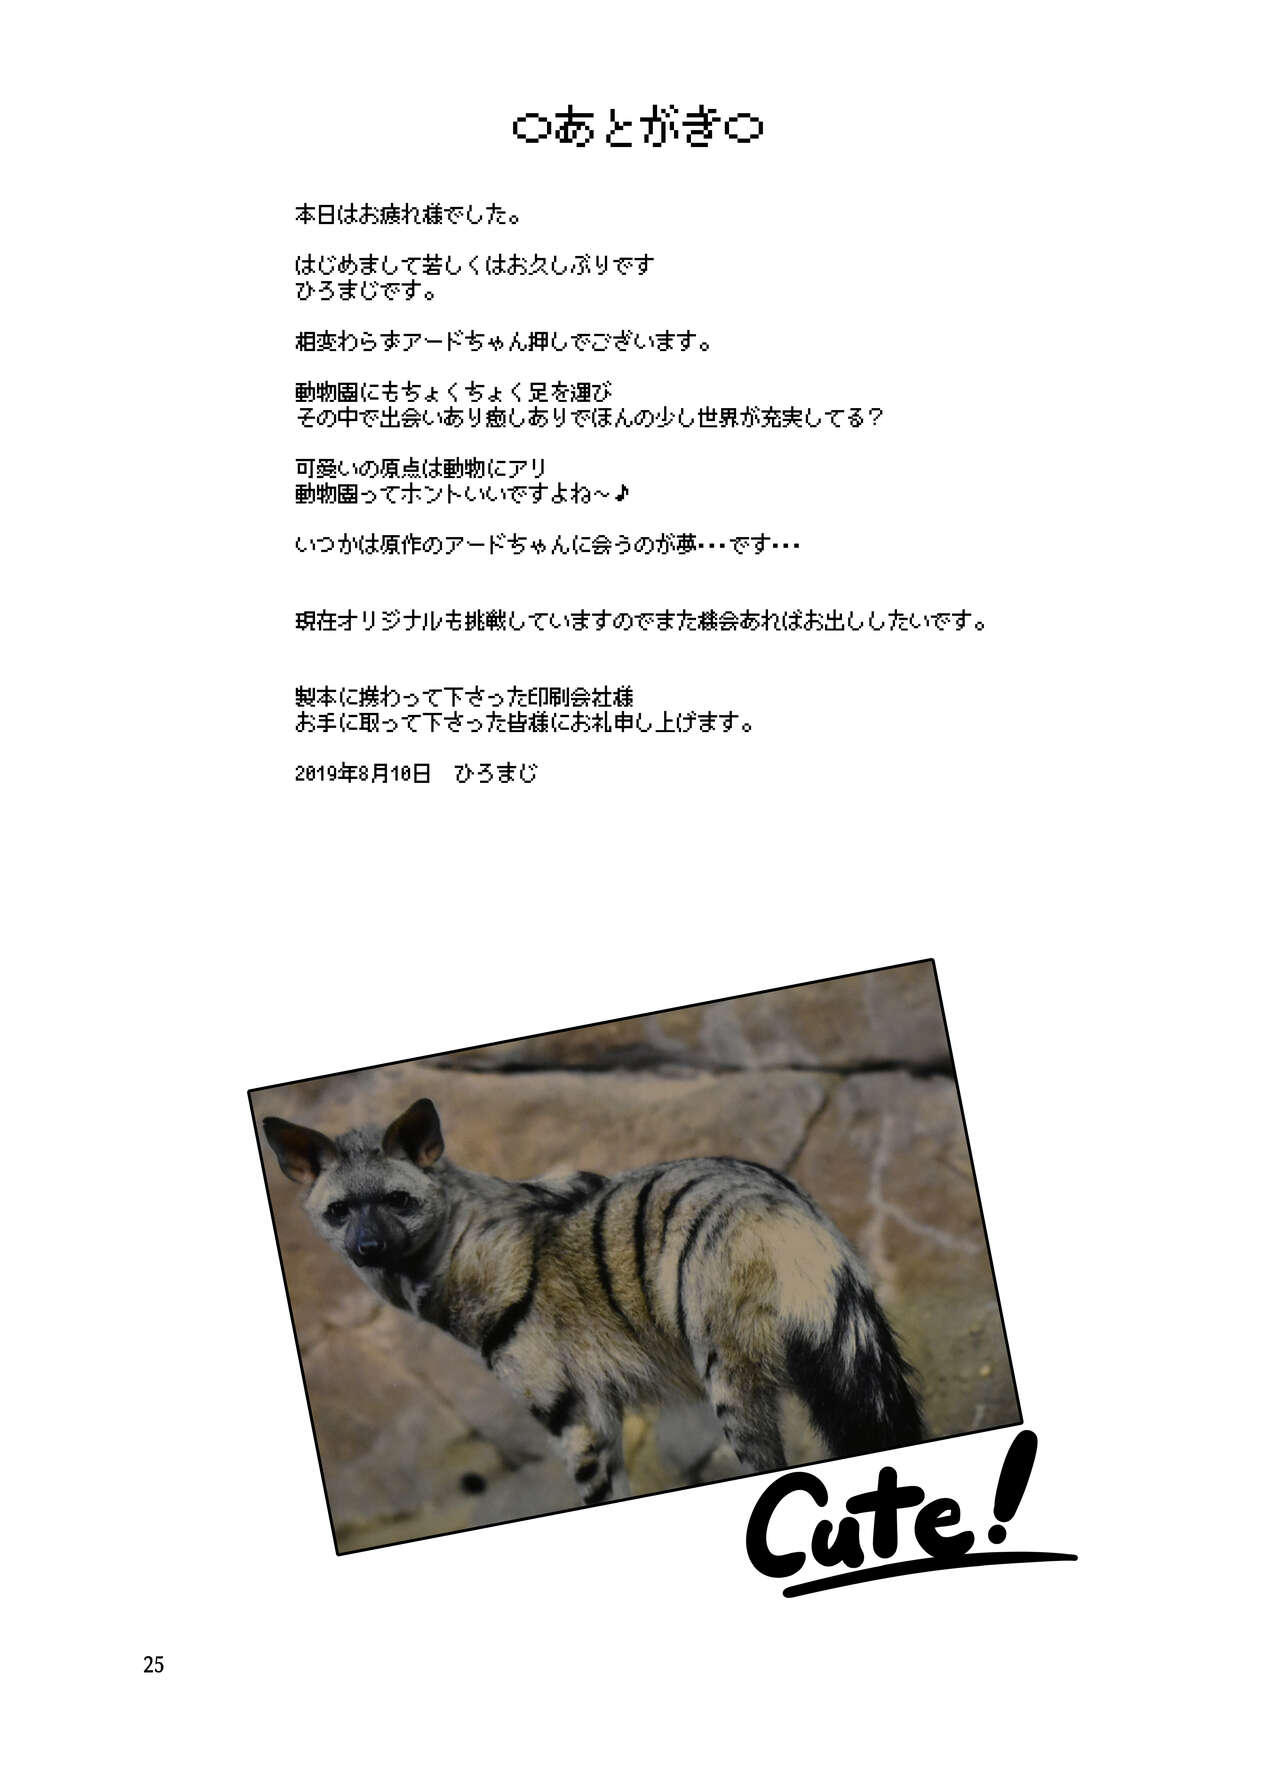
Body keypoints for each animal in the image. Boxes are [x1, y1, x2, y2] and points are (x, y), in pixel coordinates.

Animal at [263, 1098, 923, 1507]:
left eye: (399, 1200)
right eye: (339, 1211)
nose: (367, 1247)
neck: (461, 1252)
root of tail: (782, 1214)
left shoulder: (569, 1411)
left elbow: (594, 1492)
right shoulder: (605, 1408)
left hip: (731, 1378)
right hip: (856, 1344)